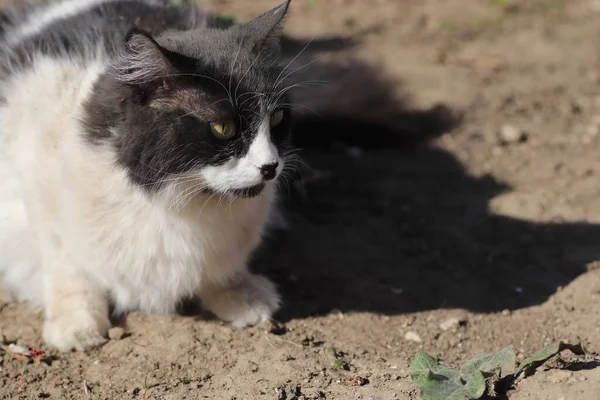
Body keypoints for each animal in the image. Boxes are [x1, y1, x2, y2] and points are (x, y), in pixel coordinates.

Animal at [0, 0, 296, 350]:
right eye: (223, 128)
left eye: (276, 119)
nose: (270, 166)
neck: (173, 202)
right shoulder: (39, 194)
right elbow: (69, 269)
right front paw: (77, 324)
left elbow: (223, 268)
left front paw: (238, 295)